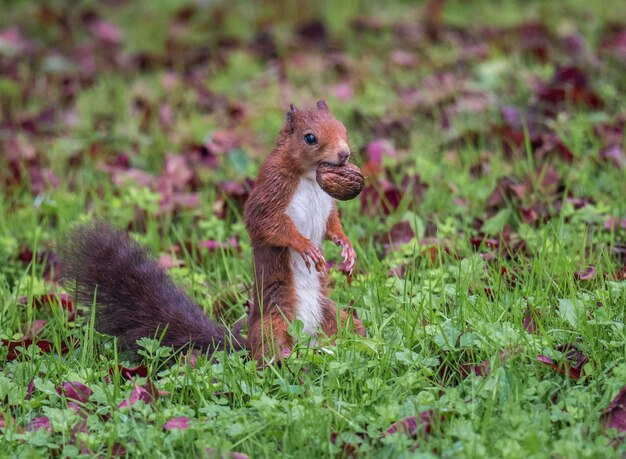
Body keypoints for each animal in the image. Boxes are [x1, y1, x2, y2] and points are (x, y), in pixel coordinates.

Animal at [241, 100, 364, 362]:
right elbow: (264, 222)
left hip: (332, 315)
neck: (310, 177)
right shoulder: (272, 185)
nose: (344, 154)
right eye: (310, 138)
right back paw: (284, 359)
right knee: (268, 347)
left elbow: (332, 225)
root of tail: (308, 342)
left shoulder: (328, 204)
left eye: (343, 128)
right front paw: (304, 245)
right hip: (274, 320)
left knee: (352, 328)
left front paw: (346, 245)